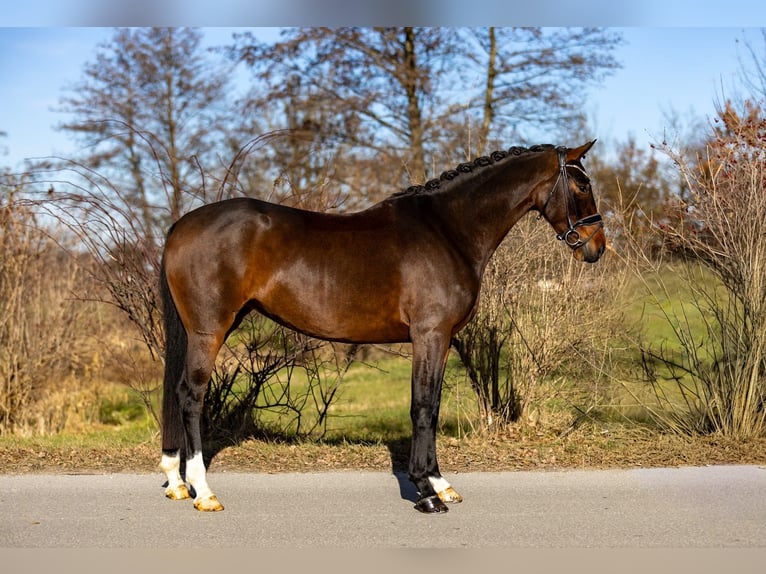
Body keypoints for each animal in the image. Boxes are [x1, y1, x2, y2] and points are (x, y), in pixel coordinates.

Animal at [158, 140, 606, 513]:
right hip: (209, 331)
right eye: (582, 184)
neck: (447, 229)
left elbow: (432, 406)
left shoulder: (440, 340)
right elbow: (423, 407)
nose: (597, 247)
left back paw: (176, 482)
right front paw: (425, 492)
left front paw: (440, 484)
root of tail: (181, 225)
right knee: (191, 395)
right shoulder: (430, 335)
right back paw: (203, 492)